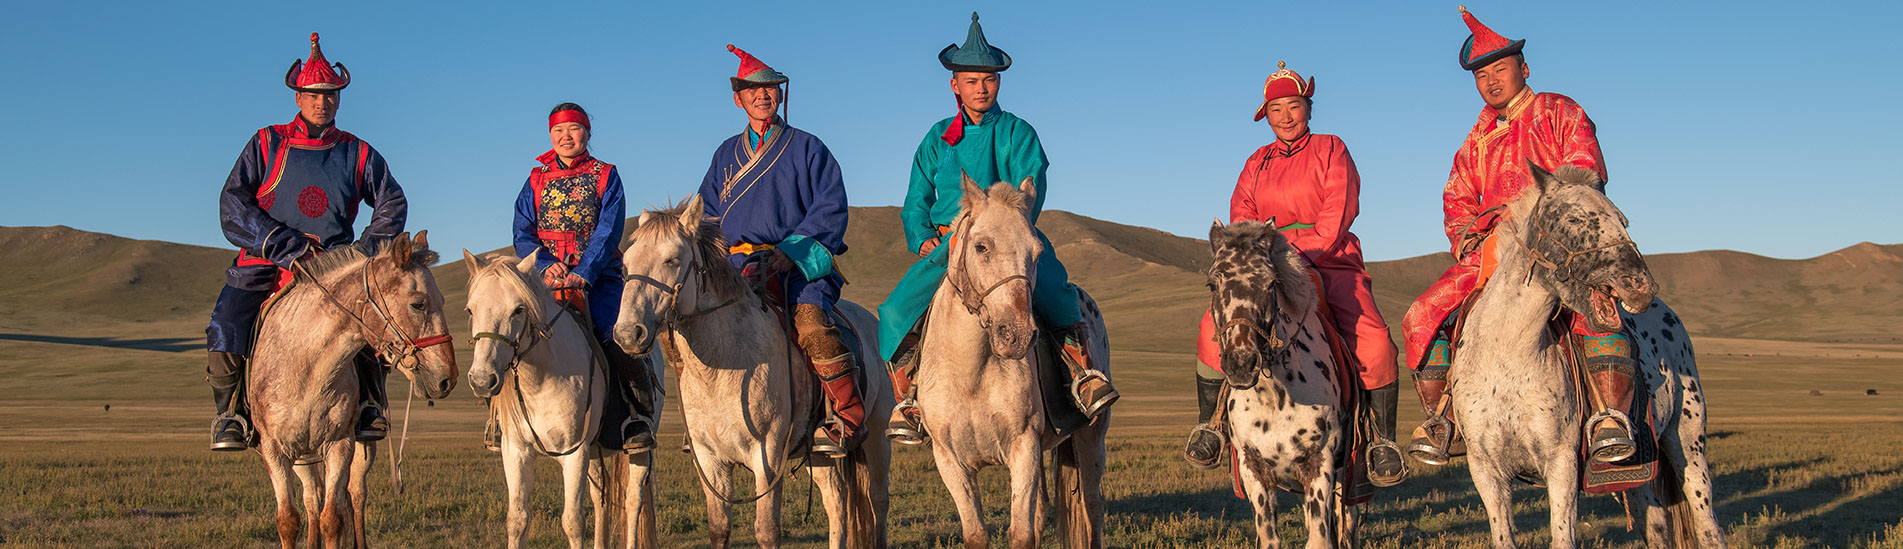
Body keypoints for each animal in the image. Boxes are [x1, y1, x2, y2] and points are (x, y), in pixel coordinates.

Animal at [462, 249, 662, 549]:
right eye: (471, 309)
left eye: (518, 310)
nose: (482, 380)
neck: (541, 378)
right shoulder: (516, 451)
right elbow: (517, 520)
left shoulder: (574, 452)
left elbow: (573, 521)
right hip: (594, 450)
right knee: (600, 496)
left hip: (639, 448)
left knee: (633, 500)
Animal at [616, 197, 898, 549]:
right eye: (625, 265)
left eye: (671, 259)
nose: (628, 334)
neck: (722, 368)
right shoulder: (709, 459)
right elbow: (719, 527)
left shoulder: (768, 455)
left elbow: (766, 529)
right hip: (819, 450)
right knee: (837, 501)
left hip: (877, 435)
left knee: (878, 500)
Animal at [1202, 220, 1354, 549]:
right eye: (1212, 284)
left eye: (1271, 284)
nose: (1241, 363)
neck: (1274, 397)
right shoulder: (1254, 469)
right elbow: (1269, 537)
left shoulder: (1319, 464)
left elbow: (1320, 538)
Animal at [1446, 162, 1735, 549]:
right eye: (1574, 219)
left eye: (1623, 220)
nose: (1640, 286)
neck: (1506, 356)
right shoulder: (1486, 468)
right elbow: (1503, 536)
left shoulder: (1562, 463)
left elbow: (1563, 536)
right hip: (1631, 470)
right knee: (1657, 525)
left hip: (1688, 443)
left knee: (1707, 525)